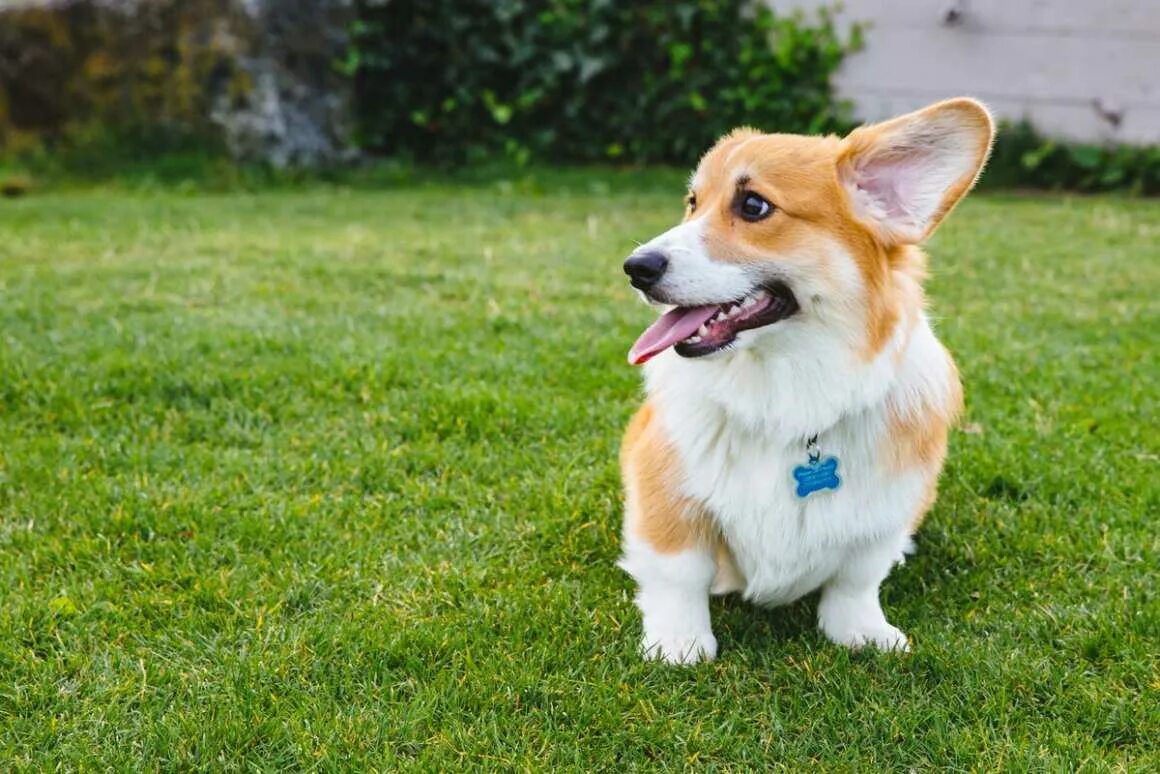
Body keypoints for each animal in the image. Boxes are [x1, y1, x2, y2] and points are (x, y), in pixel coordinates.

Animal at [621, 98, 992, 668]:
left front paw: (863, 632)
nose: (635, 267)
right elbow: (678, 572)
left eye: (753, 206)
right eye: (693, 202)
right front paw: (678, 642)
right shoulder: (667, 486)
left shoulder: (881, 512)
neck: (786, 394)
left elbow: (856, 581)